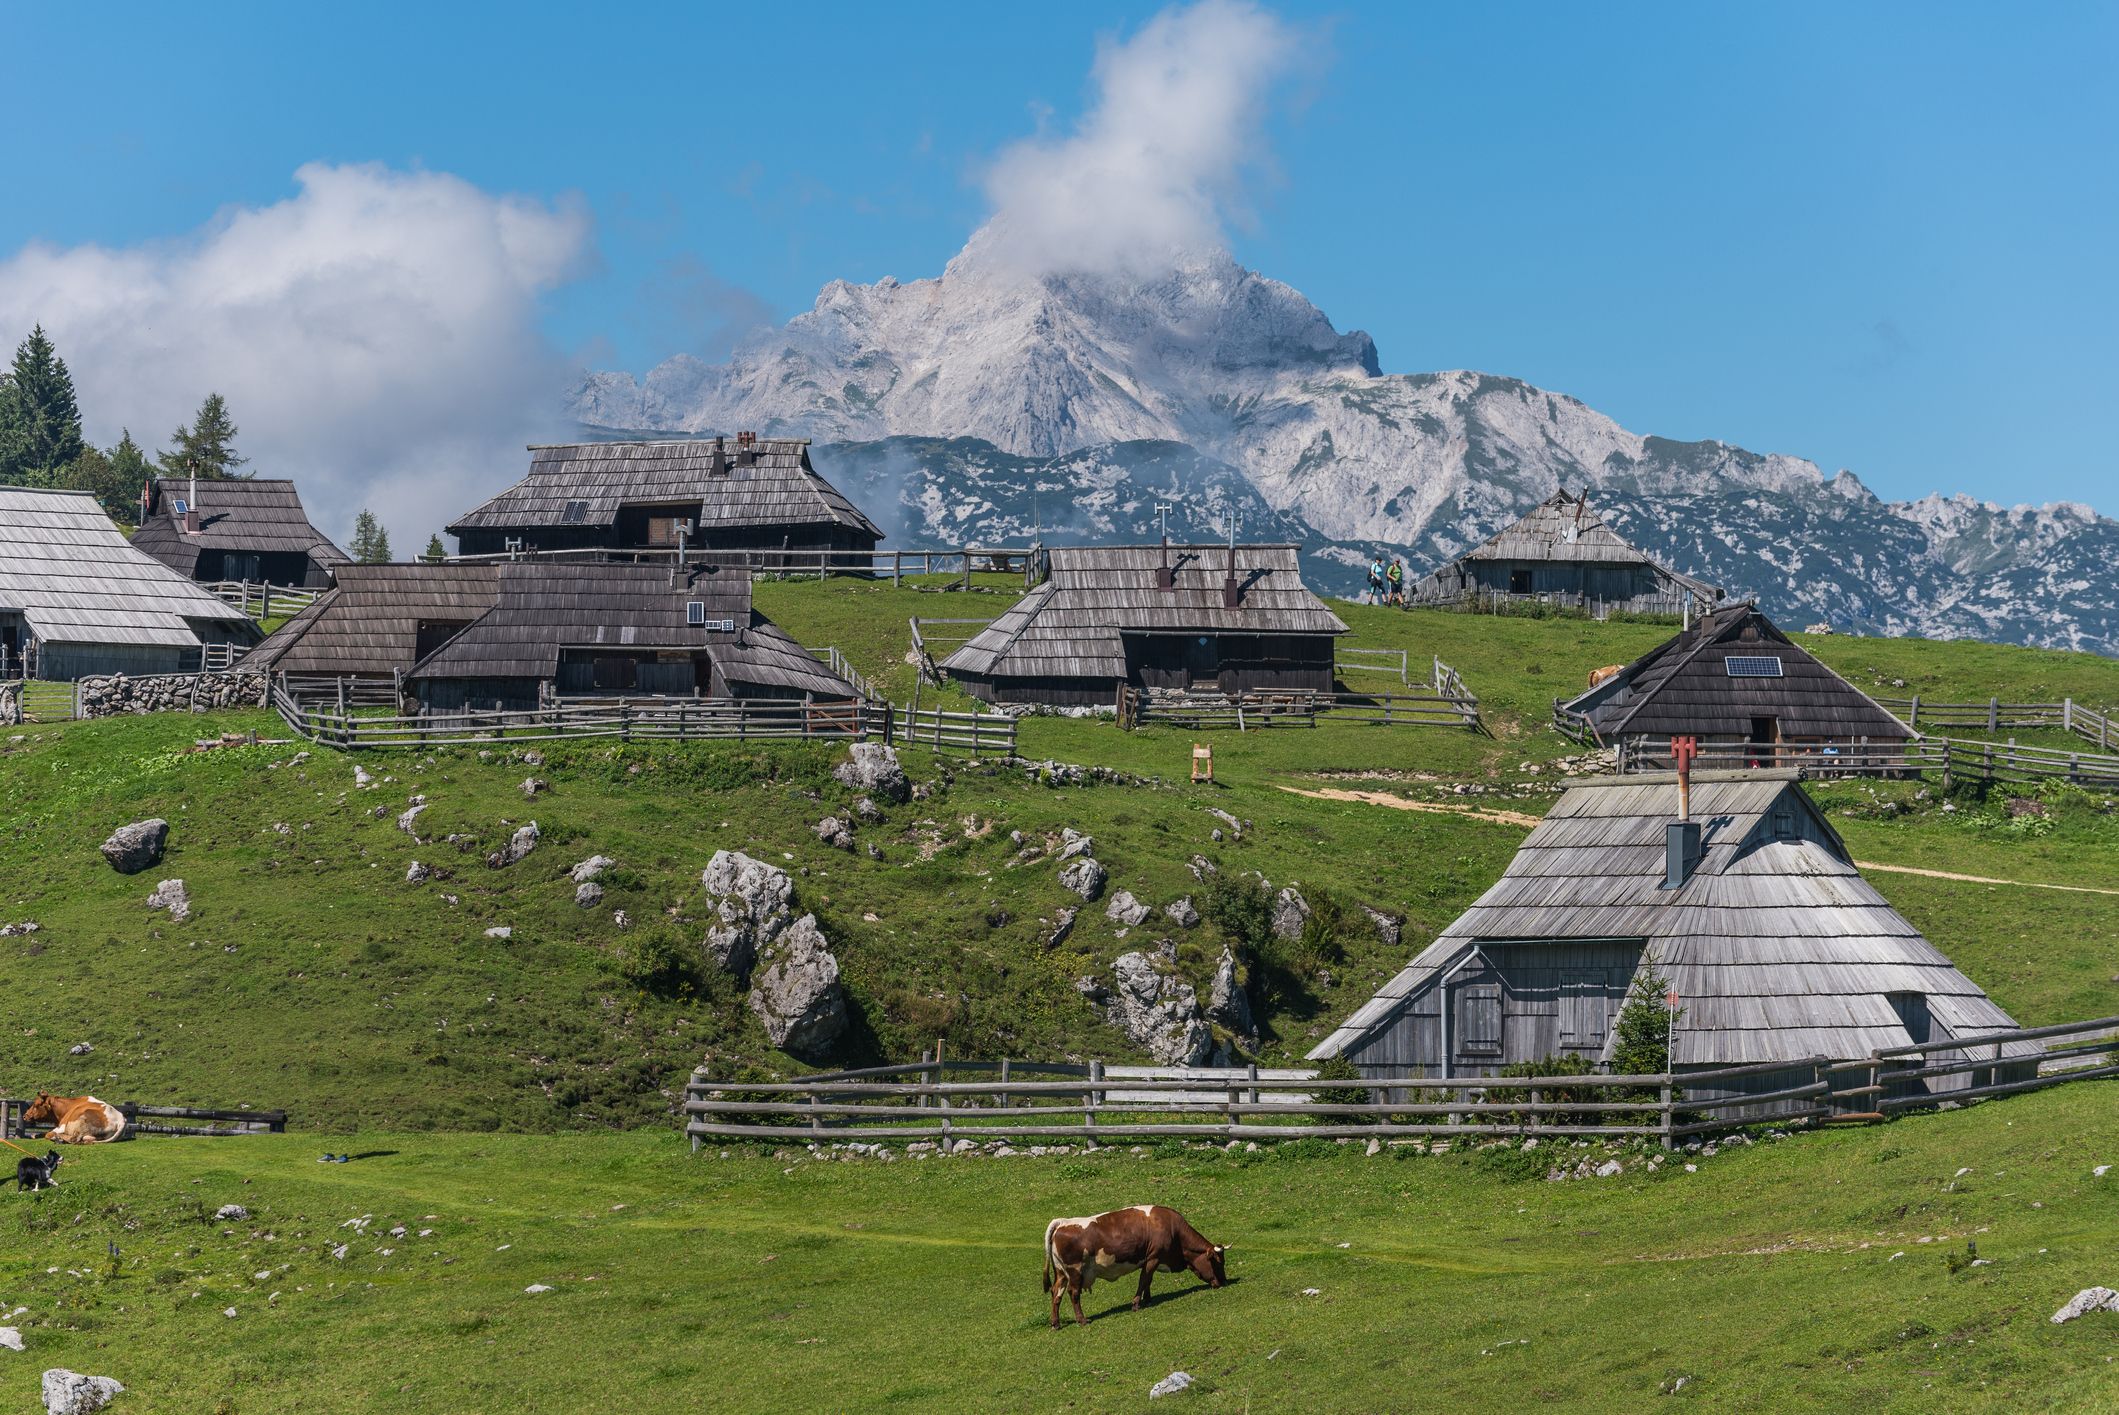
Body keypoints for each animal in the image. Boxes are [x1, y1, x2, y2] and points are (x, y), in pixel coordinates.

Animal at [1042, 1203, 1229, 1330]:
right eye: (1218, 1262)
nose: (1224, 1282)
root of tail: (1062, 1222)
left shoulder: (1148, 1260)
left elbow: (1147, 1281)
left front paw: (1148, 1299)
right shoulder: (1154, 1257)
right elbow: (1144, 1280)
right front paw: (1137, 1304)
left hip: (1061, 1273)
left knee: (1056, 1293)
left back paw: (1055, 1323)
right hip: (1075, 1271)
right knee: (1073, 1293)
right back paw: (1082, 1320)